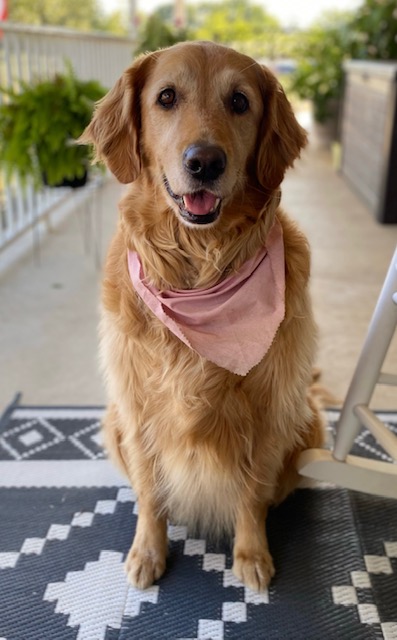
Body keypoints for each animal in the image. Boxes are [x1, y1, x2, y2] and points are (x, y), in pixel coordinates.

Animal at [79, 38, 322, 592]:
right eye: (167, 97)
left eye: (239, 102)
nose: (205, 162)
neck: (199, 270)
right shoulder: (137, 407)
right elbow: (150, 493)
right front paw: (148, 552)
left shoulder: (272, 407)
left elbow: (252, 493)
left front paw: (251, 554)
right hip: (112, 422)